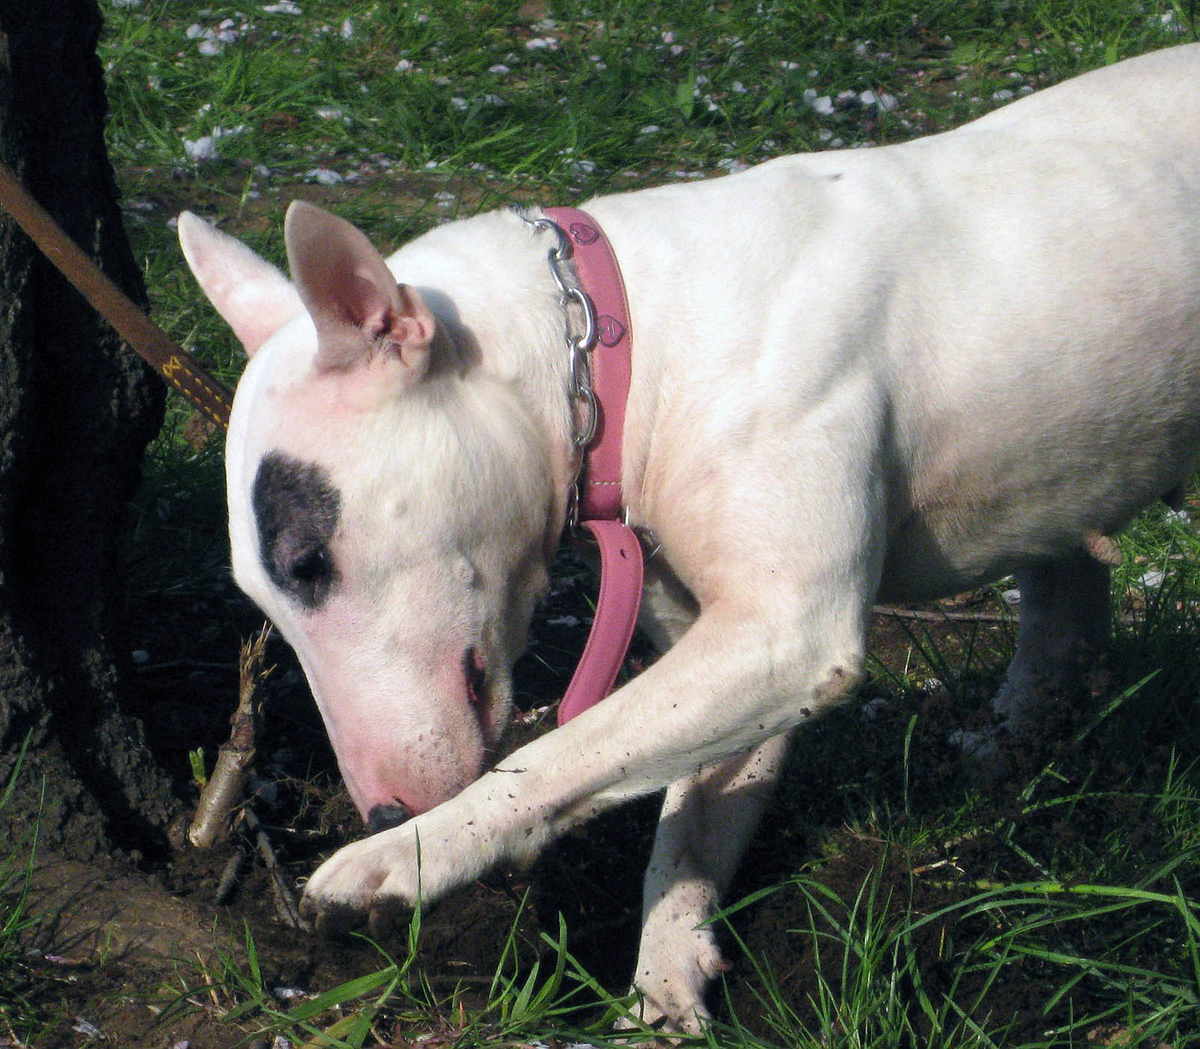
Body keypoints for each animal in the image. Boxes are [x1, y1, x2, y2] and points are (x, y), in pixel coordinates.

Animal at [177, 45, 1200, 1027]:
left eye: (309, 562)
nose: (383, 802)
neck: (624, 337)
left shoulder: (789, 630)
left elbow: (563, 752)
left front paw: (406, 855)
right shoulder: (726, 642)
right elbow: (687, 816)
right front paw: (666, 982)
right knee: (1066, 577)